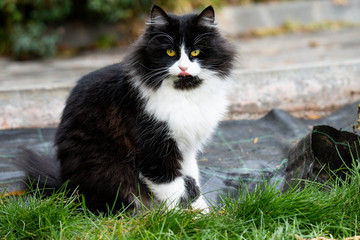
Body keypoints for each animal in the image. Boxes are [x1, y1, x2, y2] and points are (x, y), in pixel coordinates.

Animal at [18, 4, 235, 213]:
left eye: (195, 52)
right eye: (170, 52)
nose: (183, 68)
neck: (184, 94)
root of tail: (65, 187)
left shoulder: (187, 149)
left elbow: (191, 182)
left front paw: (202, 213)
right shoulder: (155, 151)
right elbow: (173, 188)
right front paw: (178, 218)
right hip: (108, 169)